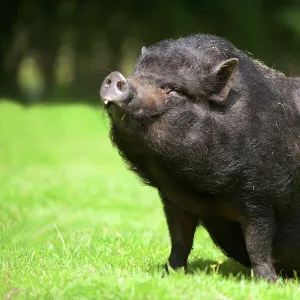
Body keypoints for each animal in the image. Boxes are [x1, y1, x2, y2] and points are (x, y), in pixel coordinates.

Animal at [99, 34, 300, 282]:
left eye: (173, 90)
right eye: (138, 75)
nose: (117, 77)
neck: (199, 187)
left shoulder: (261, 195)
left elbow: (257, 242)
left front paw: (268, 282)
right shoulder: (174, 200)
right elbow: (179, 240)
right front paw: (168, 274)